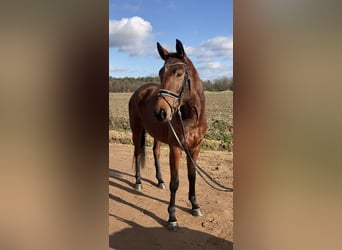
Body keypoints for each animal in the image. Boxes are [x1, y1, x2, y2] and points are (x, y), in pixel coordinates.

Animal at [128, 38, 207, 230]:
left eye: (179, 73)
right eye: (160, 73)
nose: (160, 112)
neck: (192, 118)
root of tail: (139, 91)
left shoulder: (195, 148)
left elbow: (192, 177)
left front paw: (195, 206)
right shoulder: (176, 148)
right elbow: (175, 182)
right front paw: (172, 217)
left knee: (155, 152)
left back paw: (159, 180)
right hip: (137, 130)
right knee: (137, 153)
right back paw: (138, 182)